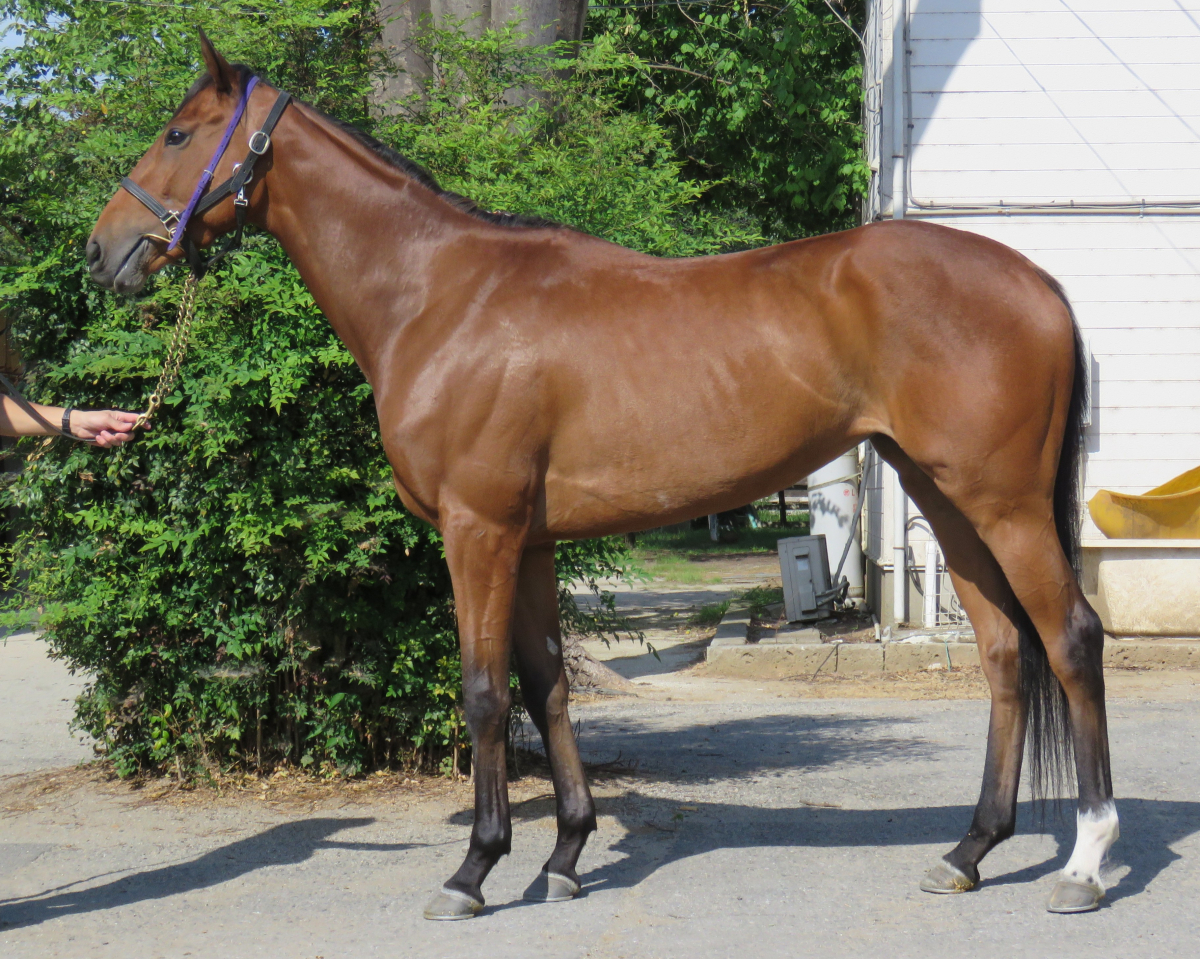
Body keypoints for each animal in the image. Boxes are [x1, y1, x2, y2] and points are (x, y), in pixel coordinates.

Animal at [87, 35, 1117, 918]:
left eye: (178, 132)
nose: (103, 250)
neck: (441, 296)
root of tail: (1037, 281)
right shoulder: (531, 538)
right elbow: (546, 682)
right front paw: (565, 854)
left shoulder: (478, 530)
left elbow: (485, 690)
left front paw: (473, 869)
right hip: (947, 499)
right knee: (1003, 651)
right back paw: (968, 852)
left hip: (1003, 503)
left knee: (1070, 638)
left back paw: (1084, 861)